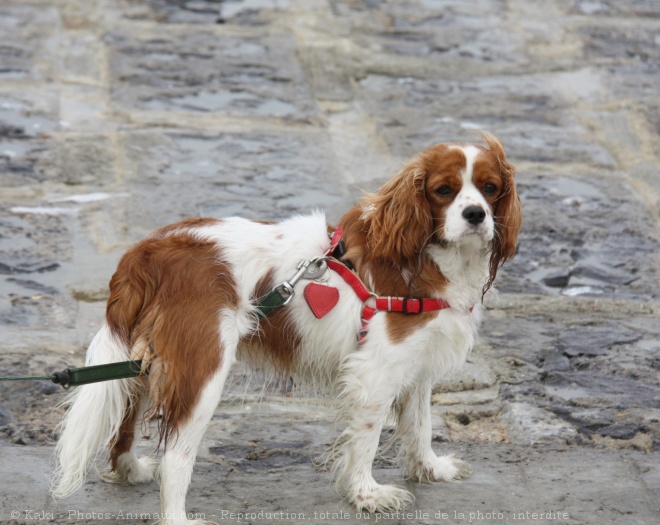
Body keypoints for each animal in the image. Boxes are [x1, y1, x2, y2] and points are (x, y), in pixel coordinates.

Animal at [52, 132, 520, 520]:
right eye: (444, 191)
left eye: (490, 188)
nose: (476, 214)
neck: (427, 257)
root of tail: (147, 251)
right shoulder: (375, 372)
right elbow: (368, 438)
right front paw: (367, 494)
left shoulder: (417, 363)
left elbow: (419, 424)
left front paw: (430, 469)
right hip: (203, 367)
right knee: (176, 456)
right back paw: (178, 517)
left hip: (149, 361)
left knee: (125, 424)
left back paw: (129, 470)